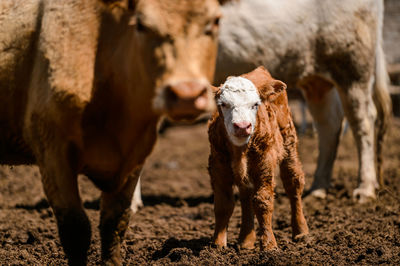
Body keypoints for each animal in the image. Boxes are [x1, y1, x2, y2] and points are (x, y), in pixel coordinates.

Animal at [209, 66, 310, 249]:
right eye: (223, 104)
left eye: (255, 104)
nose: (242, 126)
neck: (240, 150)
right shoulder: (217, 165)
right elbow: (223, 204)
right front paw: (217, 245)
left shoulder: (265, 163)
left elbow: (263, 201)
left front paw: (269, 245)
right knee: (245, 194)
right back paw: (246, 241)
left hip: (289, 140)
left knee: (293, 184)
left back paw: (301, 231)